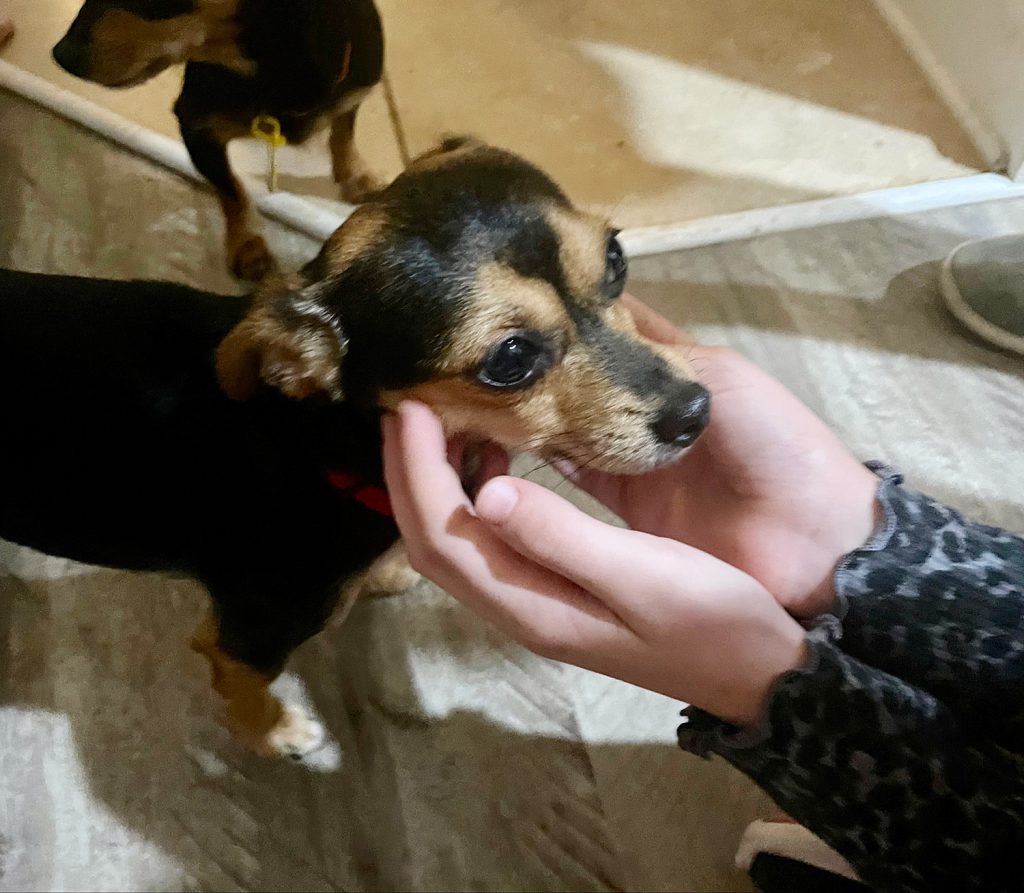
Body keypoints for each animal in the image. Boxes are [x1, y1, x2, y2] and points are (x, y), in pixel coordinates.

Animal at [0, 143, 708, 757]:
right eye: (509, 359)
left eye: (616, 258)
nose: (695, 413)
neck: (320, 441)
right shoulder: (247, 635)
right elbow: (242, 687)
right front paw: (274, 734)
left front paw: (387, 572)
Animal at [49, 0, 385, 280]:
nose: (61, 55)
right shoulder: (194, 126)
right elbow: (231, 189)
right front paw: (246, 246)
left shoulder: (357, 88)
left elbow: (344, 127)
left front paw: (355, 175)